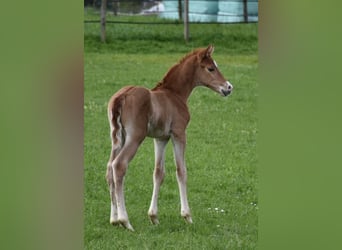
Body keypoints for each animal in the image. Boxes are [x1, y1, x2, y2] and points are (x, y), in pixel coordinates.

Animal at [105, 45, 232, 230]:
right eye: (211, 68)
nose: (229, 87)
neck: (174, 94)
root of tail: (122, 96)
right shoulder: (179, 134)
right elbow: (181, 171)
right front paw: (187, 216)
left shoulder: (160, 139)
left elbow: (159, 173)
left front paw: (154, 217)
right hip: (135, 137)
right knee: (119, 165)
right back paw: (125, 221)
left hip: (117, 137)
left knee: (109, 168)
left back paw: (114, 219)